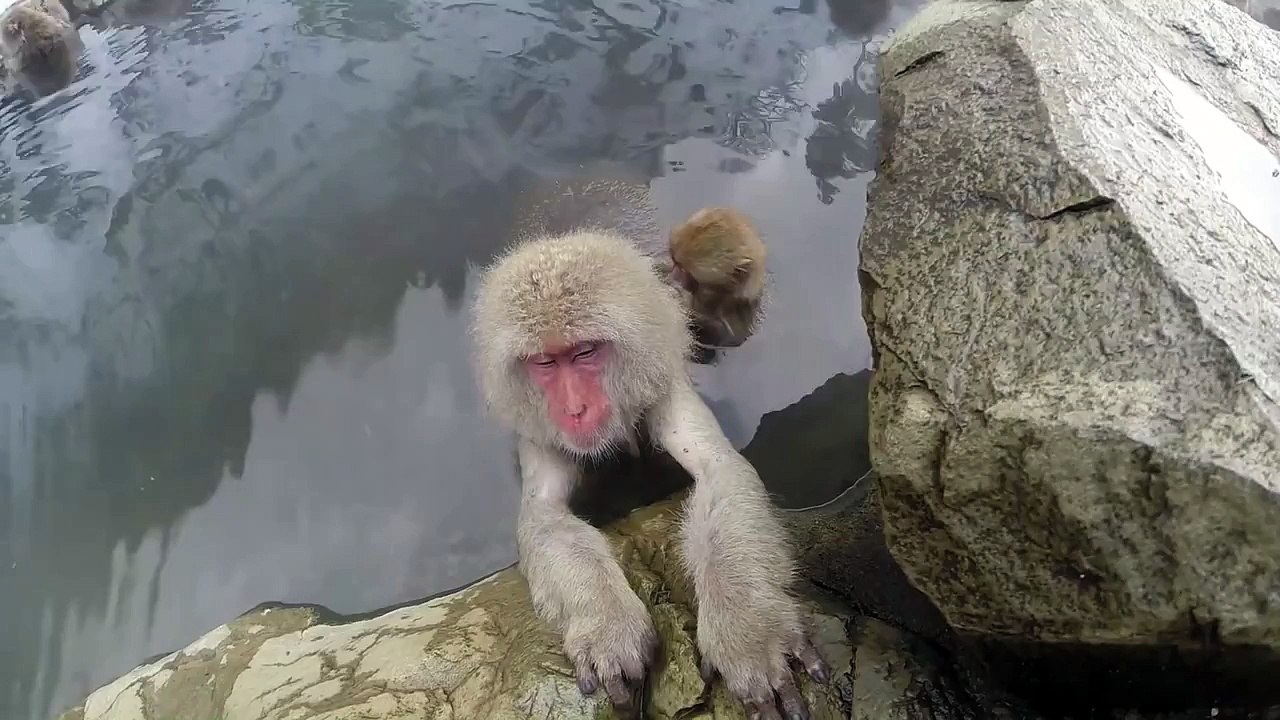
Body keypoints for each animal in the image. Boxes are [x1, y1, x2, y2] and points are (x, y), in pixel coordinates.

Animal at [470, 229, 830, 719]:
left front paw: (750, 633)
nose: (574, 409)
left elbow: (718, 468)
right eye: (545, 363)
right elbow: (543, 514)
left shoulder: (661, 383)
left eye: (584, 353)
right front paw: (605, 622)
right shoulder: (539, 429)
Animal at [668, 206, 767, 349]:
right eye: (674, 263)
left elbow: (722, 336)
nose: (672, 275)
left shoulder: (738, 308)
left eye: (684, 272)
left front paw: (679, 292)